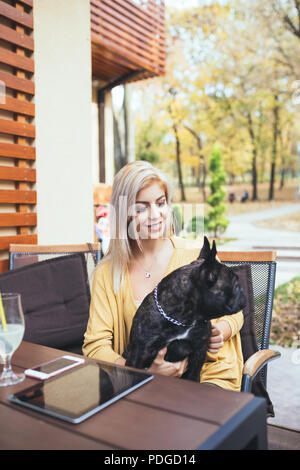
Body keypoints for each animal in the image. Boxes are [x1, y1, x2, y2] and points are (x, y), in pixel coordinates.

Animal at [125, 239, 247, 382]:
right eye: (236, 285)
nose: (244, 293)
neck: (184, 320)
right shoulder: (138, 355)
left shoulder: (198, 354)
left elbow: (194, 377)